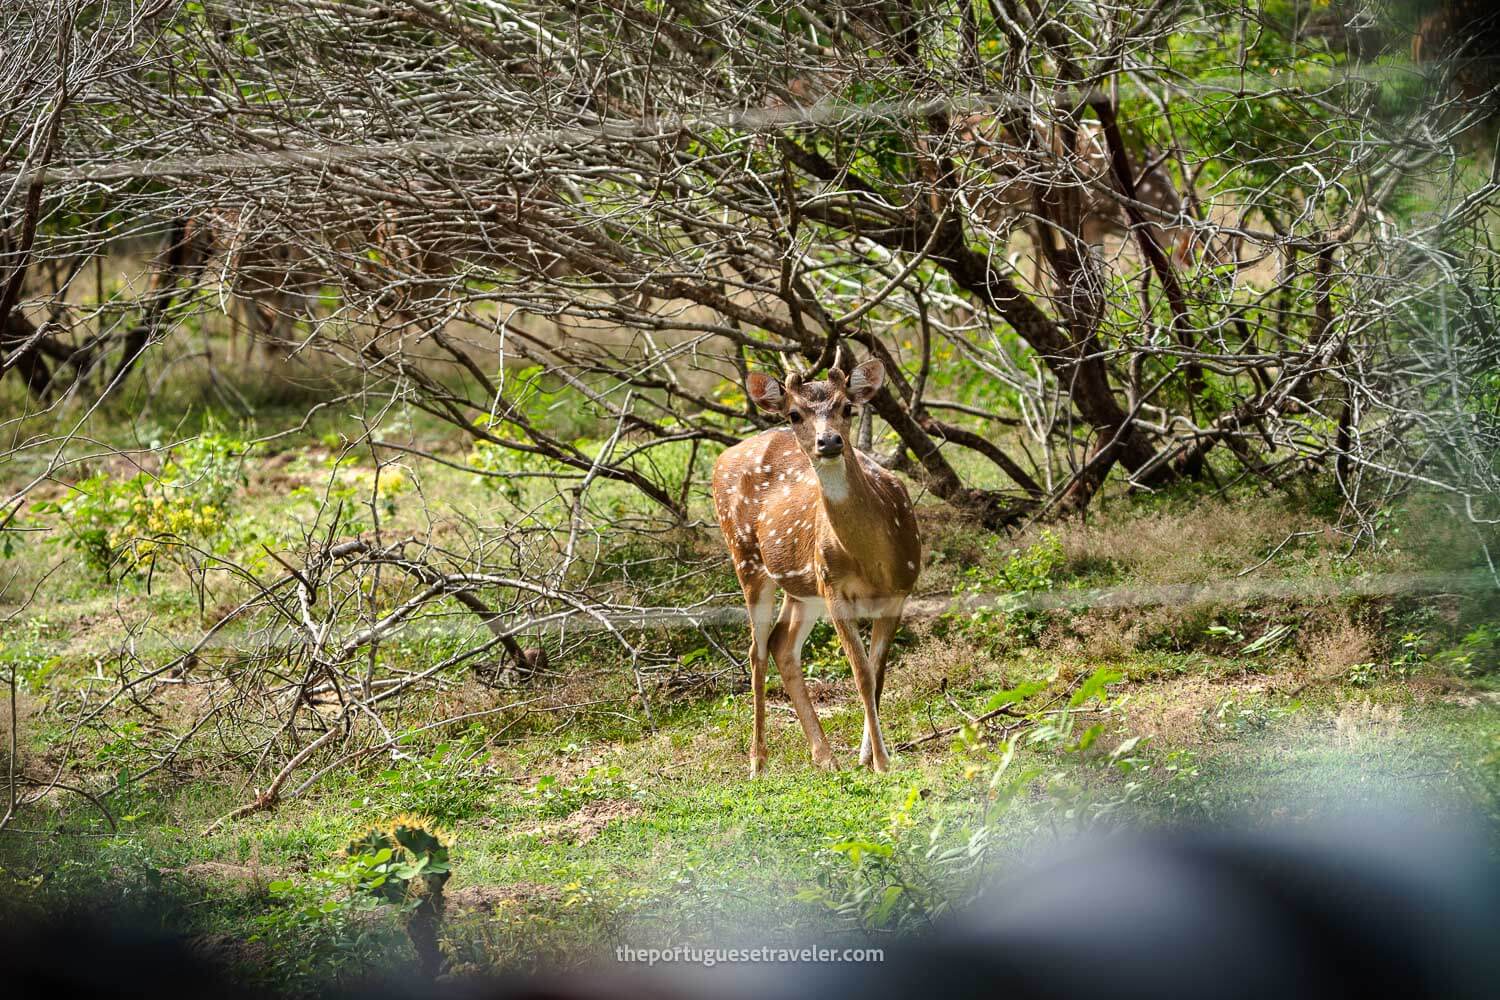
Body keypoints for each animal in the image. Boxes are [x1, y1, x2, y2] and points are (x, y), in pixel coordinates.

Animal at [711, 358, 918, 773]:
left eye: (847, 407)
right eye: (795, 414)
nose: (830, 442)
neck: (875, 562)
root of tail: (722, 457)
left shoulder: (900, 591)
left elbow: (878, 673)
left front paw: (867, 756)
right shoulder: (834, 588)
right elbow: (862, 674)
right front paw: (881, 761)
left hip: (804, 587)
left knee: (782, 644)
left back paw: (824, 756)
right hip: (747, 559)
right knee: (757, 651)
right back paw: (758, 762)